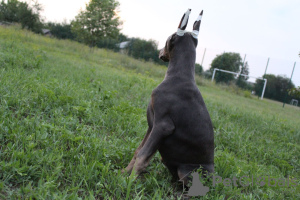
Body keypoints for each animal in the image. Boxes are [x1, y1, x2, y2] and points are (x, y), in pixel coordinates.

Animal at [123, 8, 213, 185]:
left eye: (167, 38)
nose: (159, 52)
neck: (179, 77)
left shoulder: (163, 126)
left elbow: (143, 155)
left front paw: (129, 183)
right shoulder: (152, 124)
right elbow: (139, 150)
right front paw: (123, 173)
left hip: (188, 171)